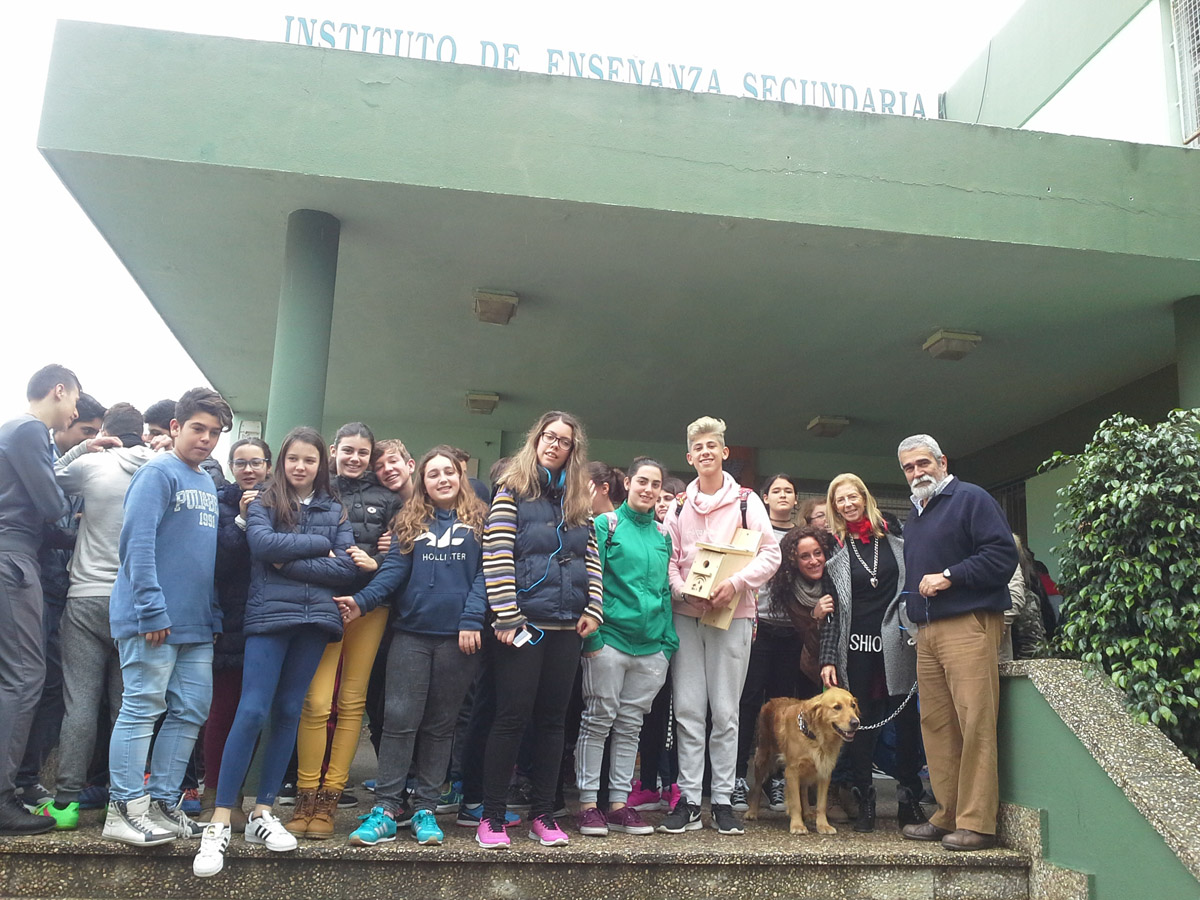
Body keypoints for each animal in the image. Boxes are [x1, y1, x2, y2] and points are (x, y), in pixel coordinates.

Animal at [744, 696, 859, 835]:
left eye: (853, 705)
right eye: (837, 707)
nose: (856, 723)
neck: (816, 736)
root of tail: (772, 699)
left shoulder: (824, 771)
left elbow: (821, 804)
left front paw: (823, 825)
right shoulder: (792, 771)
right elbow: (795, 803)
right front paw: (797, 825)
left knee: (803, 790)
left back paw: (808, 813)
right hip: (763, 757)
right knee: (757, 785)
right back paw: (752, 812)